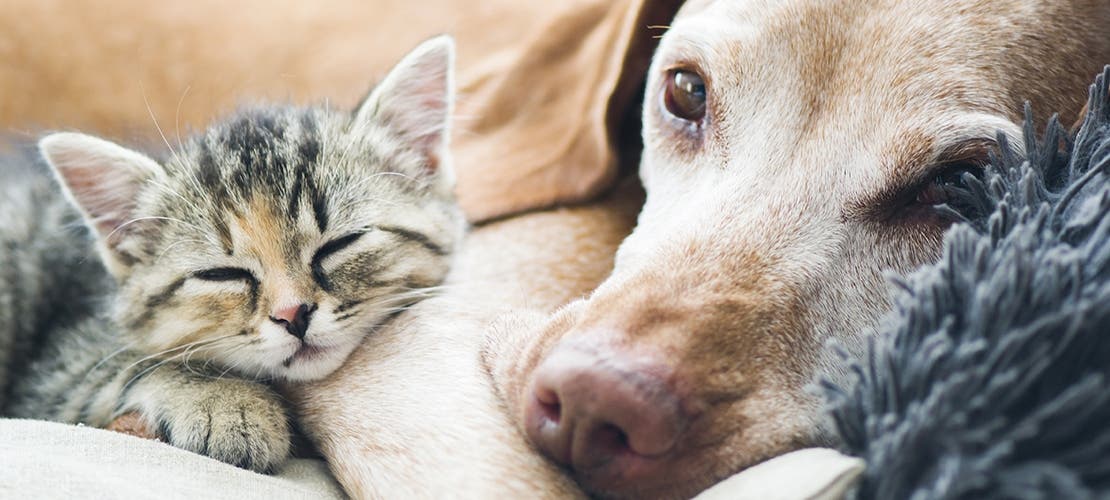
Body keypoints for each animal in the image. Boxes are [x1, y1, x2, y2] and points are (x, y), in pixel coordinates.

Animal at [0, 37, 463, 471]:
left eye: (340, 244)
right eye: (222, 274)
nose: (293, 314)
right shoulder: (52, 374)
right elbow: (134, 363)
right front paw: (228, 404)